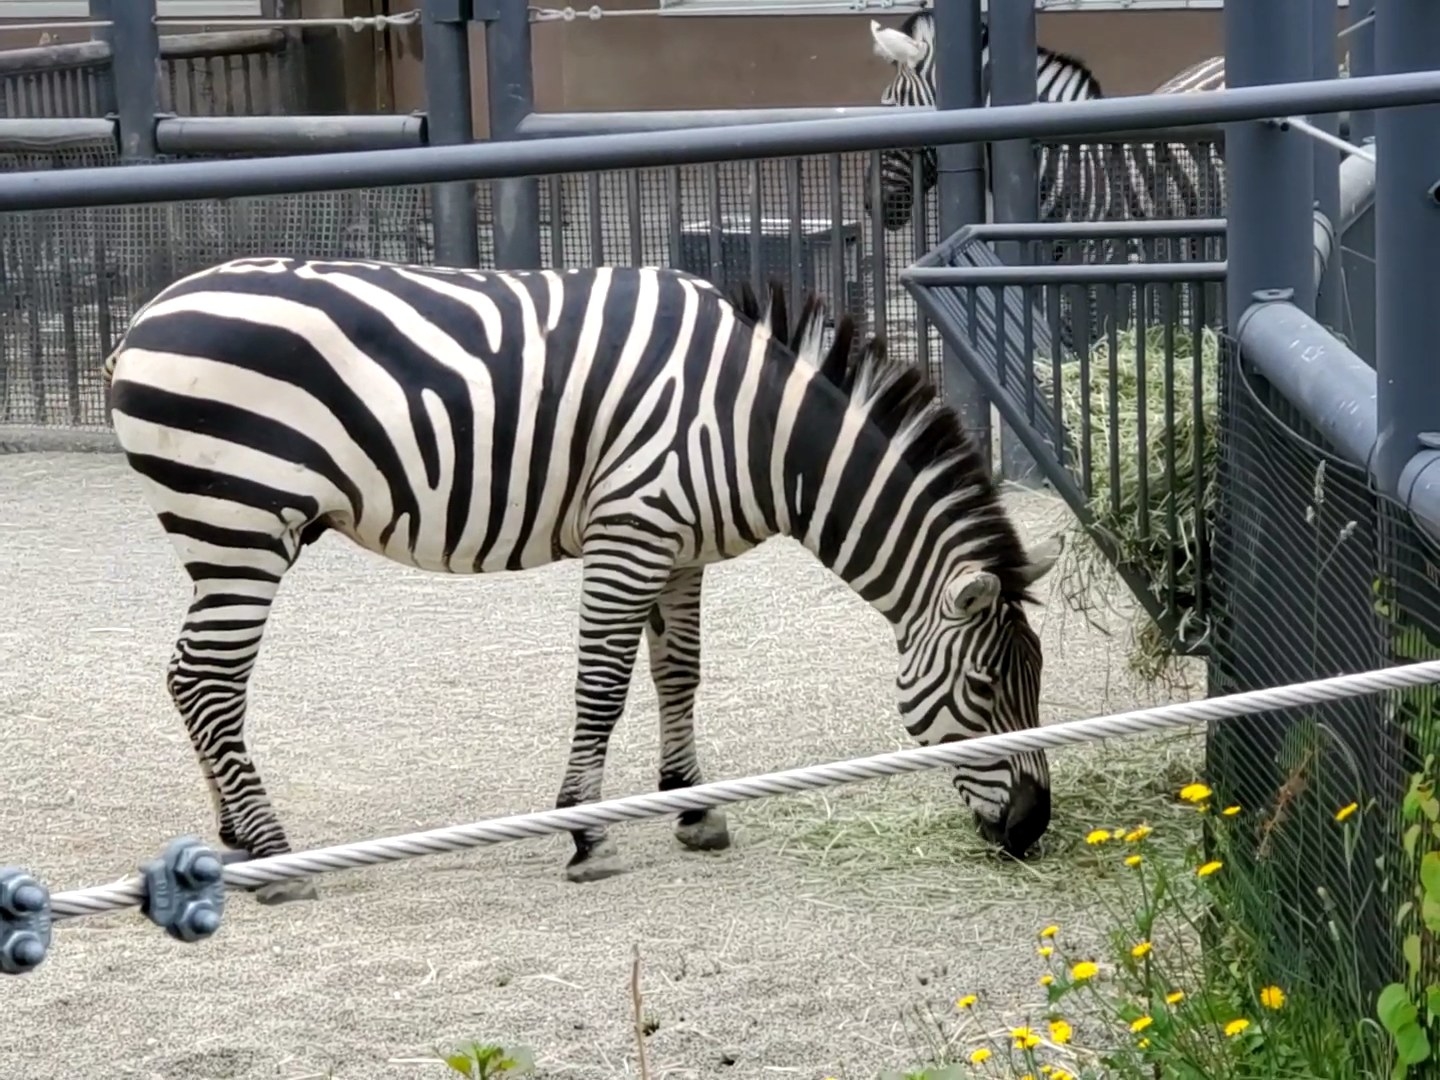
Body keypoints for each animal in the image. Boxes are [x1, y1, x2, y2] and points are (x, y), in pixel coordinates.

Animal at [104, 256, 1059, 904]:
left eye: (1036, 683)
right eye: (984, 688)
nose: (1033, 830)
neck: (760, 431)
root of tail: (148, 313)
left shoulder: (681, 549)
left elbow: (679, 675)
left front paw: (693, 810)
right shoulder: (630, 531)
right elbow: (601, 685)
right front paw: (585, 834)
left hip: (233, 531)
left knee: (192, 679)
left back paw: (234, 839)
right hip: (241, 523)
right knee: (208, 680)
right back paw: (274, 856)